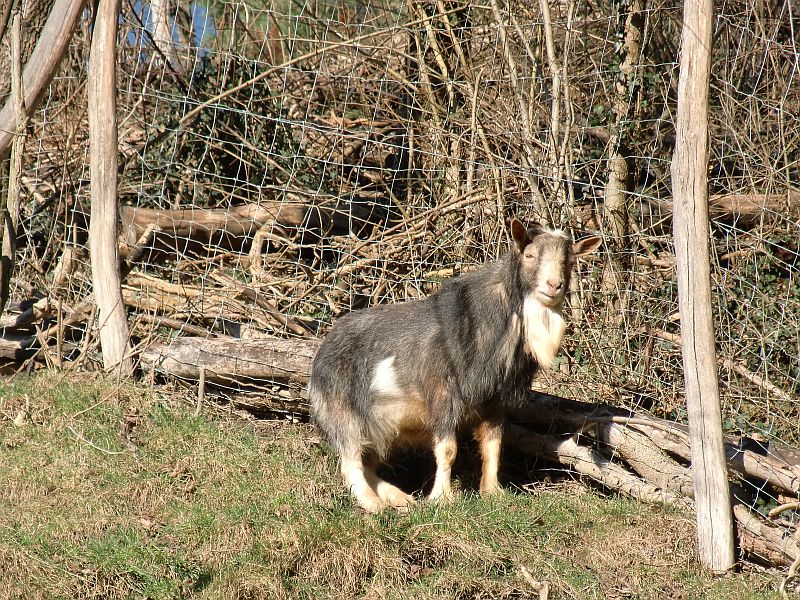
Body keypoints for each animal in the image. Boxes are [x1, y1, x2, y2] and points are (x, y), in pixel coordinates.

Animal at [308, 219, 600, 510]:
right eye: (529, 255)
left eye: (570, 261)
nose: (554, 285)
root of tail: (320, 356)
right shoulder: (443, 393)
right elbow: (447, 449)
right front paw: (442, 498)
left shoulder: (495, 400)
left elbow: (493, 444)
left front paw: (492, 492)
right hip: (343, 411)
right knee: (350, 461)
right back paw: (375, 505)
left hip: (382, 428)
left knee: (368, 464)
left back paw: (400, 498)